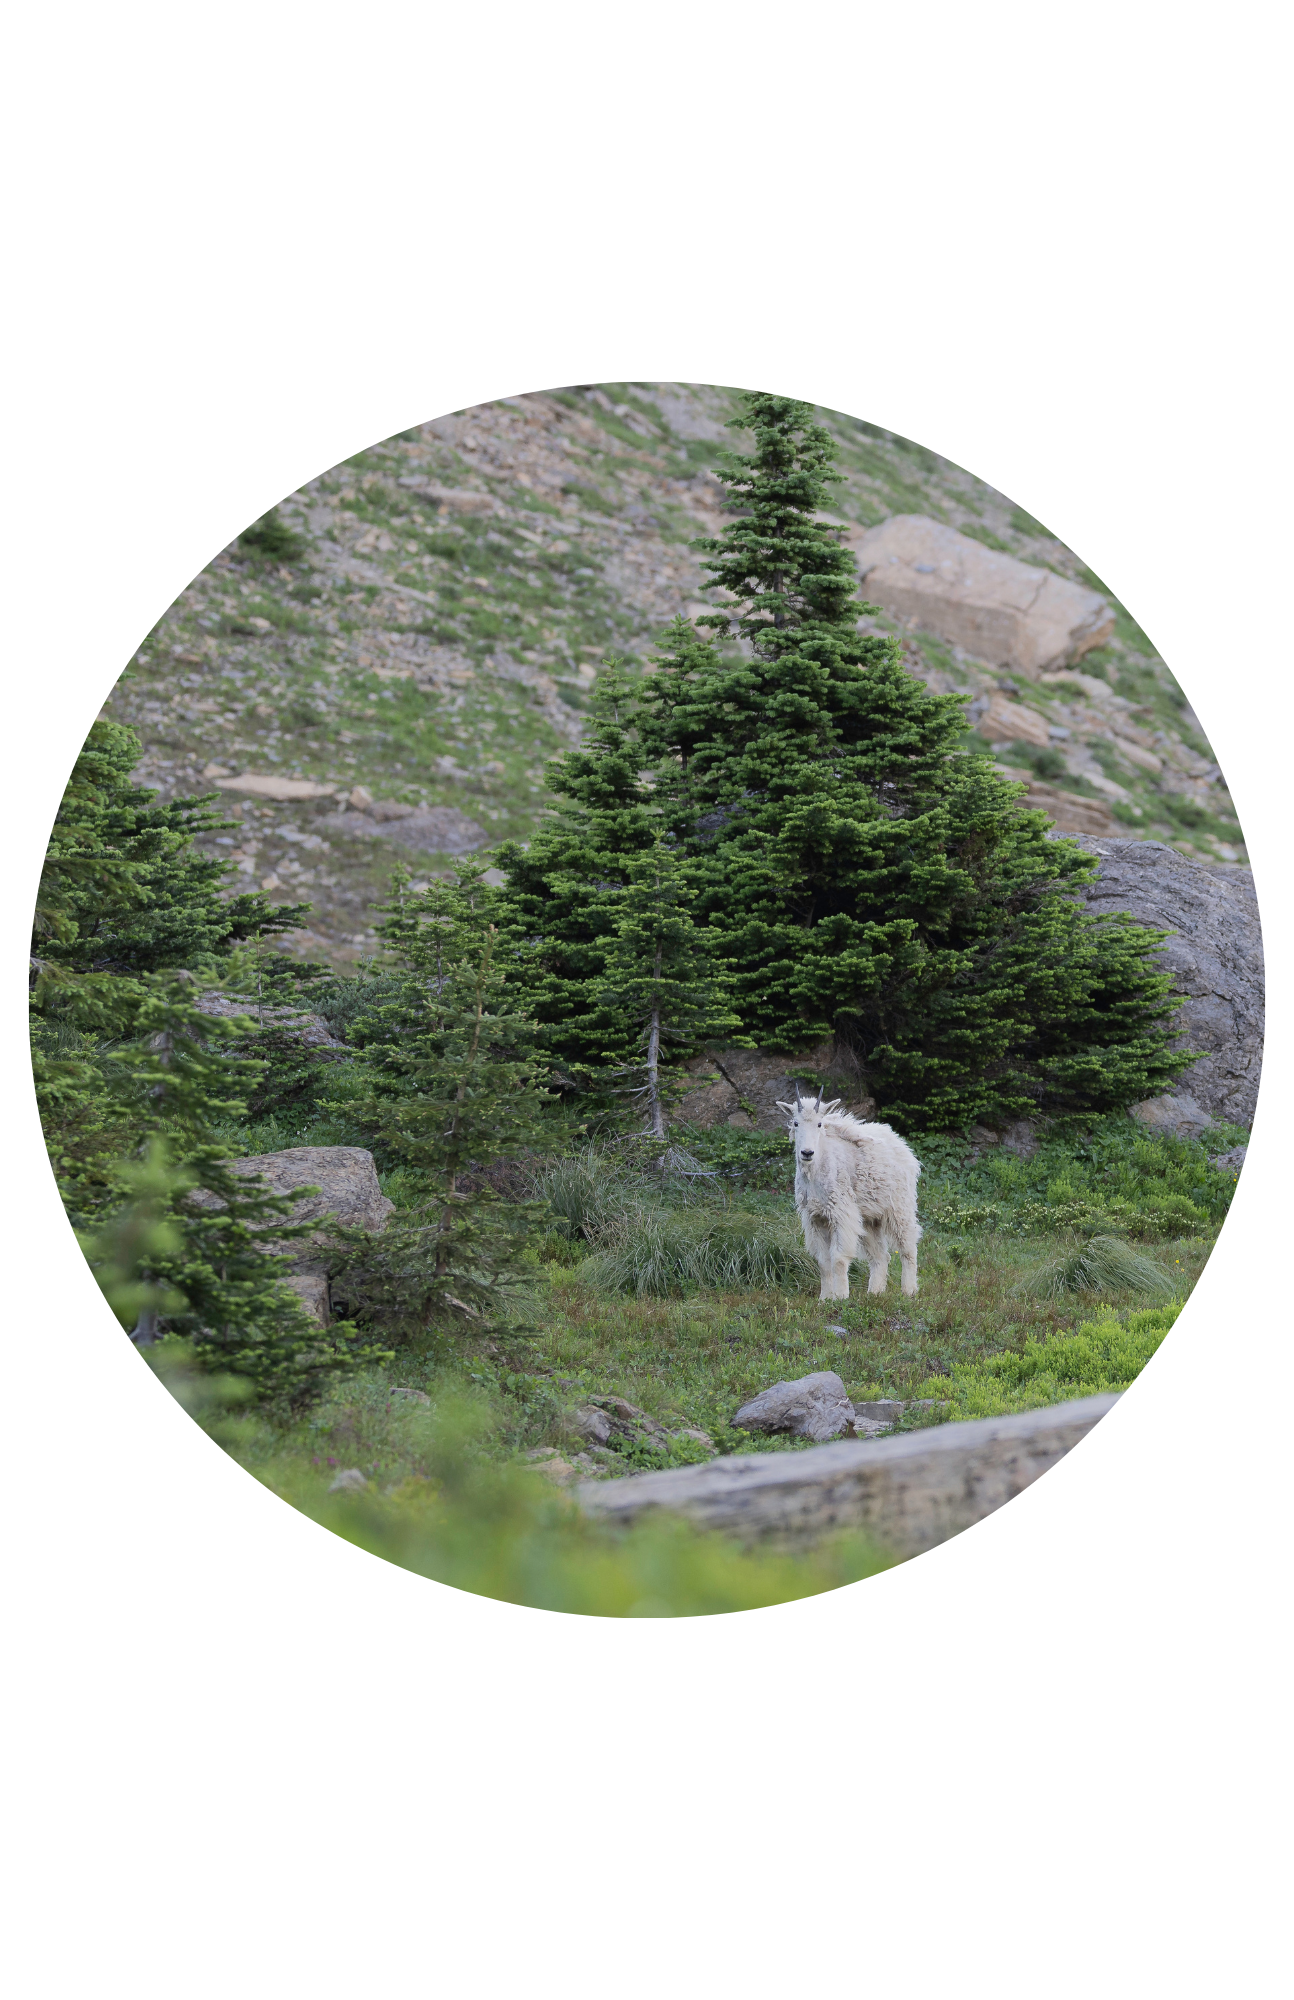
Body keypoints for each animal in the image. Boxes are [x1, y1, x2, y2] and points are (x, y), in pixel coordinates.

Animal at [775, 1089, 922, 1300]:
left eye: (819, 1123)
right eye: (795, 1123)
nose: (807, 1153)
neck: (815, 1173)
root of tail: (903, 1147)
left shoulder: (841, 1213)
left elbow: (838, 1257)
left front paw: (841, 1296)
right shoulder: (815, 1217)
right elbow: (823, 1261)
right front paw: (825, 1298)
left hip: (900, 1206)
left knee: (908, 1247)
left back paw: (909, 1291)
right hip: (869, 1218)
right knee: (880, 1255)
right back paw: (875, 1292)